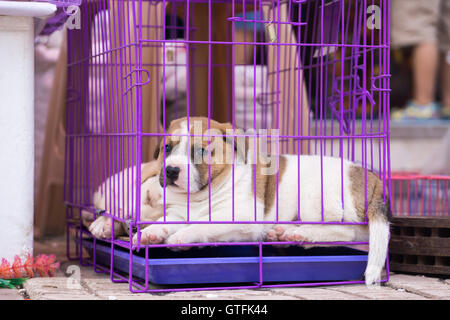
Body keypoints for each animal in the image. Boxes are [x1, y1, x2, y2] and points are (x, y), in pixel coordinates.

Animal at [136, 118, 390, 288]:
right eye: (167, 148)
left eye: (200, 151)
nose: (171, 170)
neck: (201, 194)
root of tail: (372, 177)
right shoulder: (180, 213)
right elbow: (166, 221)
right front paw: (149, 233)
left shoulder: (240, 218)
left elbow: (203, 224)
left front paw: (181, 237)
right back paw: (283, 233)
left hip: (317, 197)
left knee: (346, 232)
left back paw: (302, 234)